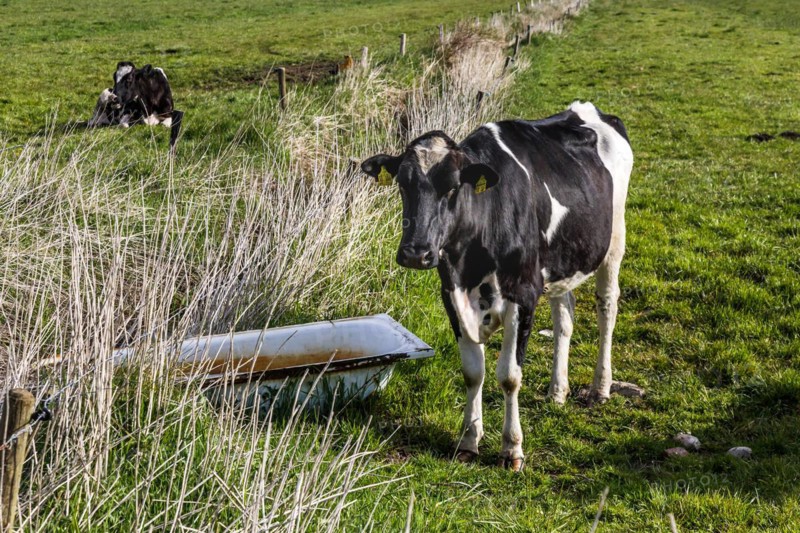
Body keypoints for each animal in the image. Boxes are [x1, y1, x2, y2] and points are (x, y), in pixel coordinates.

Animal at [361, 101, 634, 471]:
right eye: (403, 184)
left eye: (453, 187)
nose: (416, 253)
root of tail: (586, 108)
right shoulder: (452, 296)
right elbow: (473, 372)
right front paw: (468, 440)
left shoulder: (523, 294)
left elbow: (509, 375)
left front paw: (511, 449)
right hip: (560, 261)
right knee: (565, 315)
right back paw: (557, 391)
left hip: (613, 241)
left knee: (607, 307)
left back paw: (600, 388)